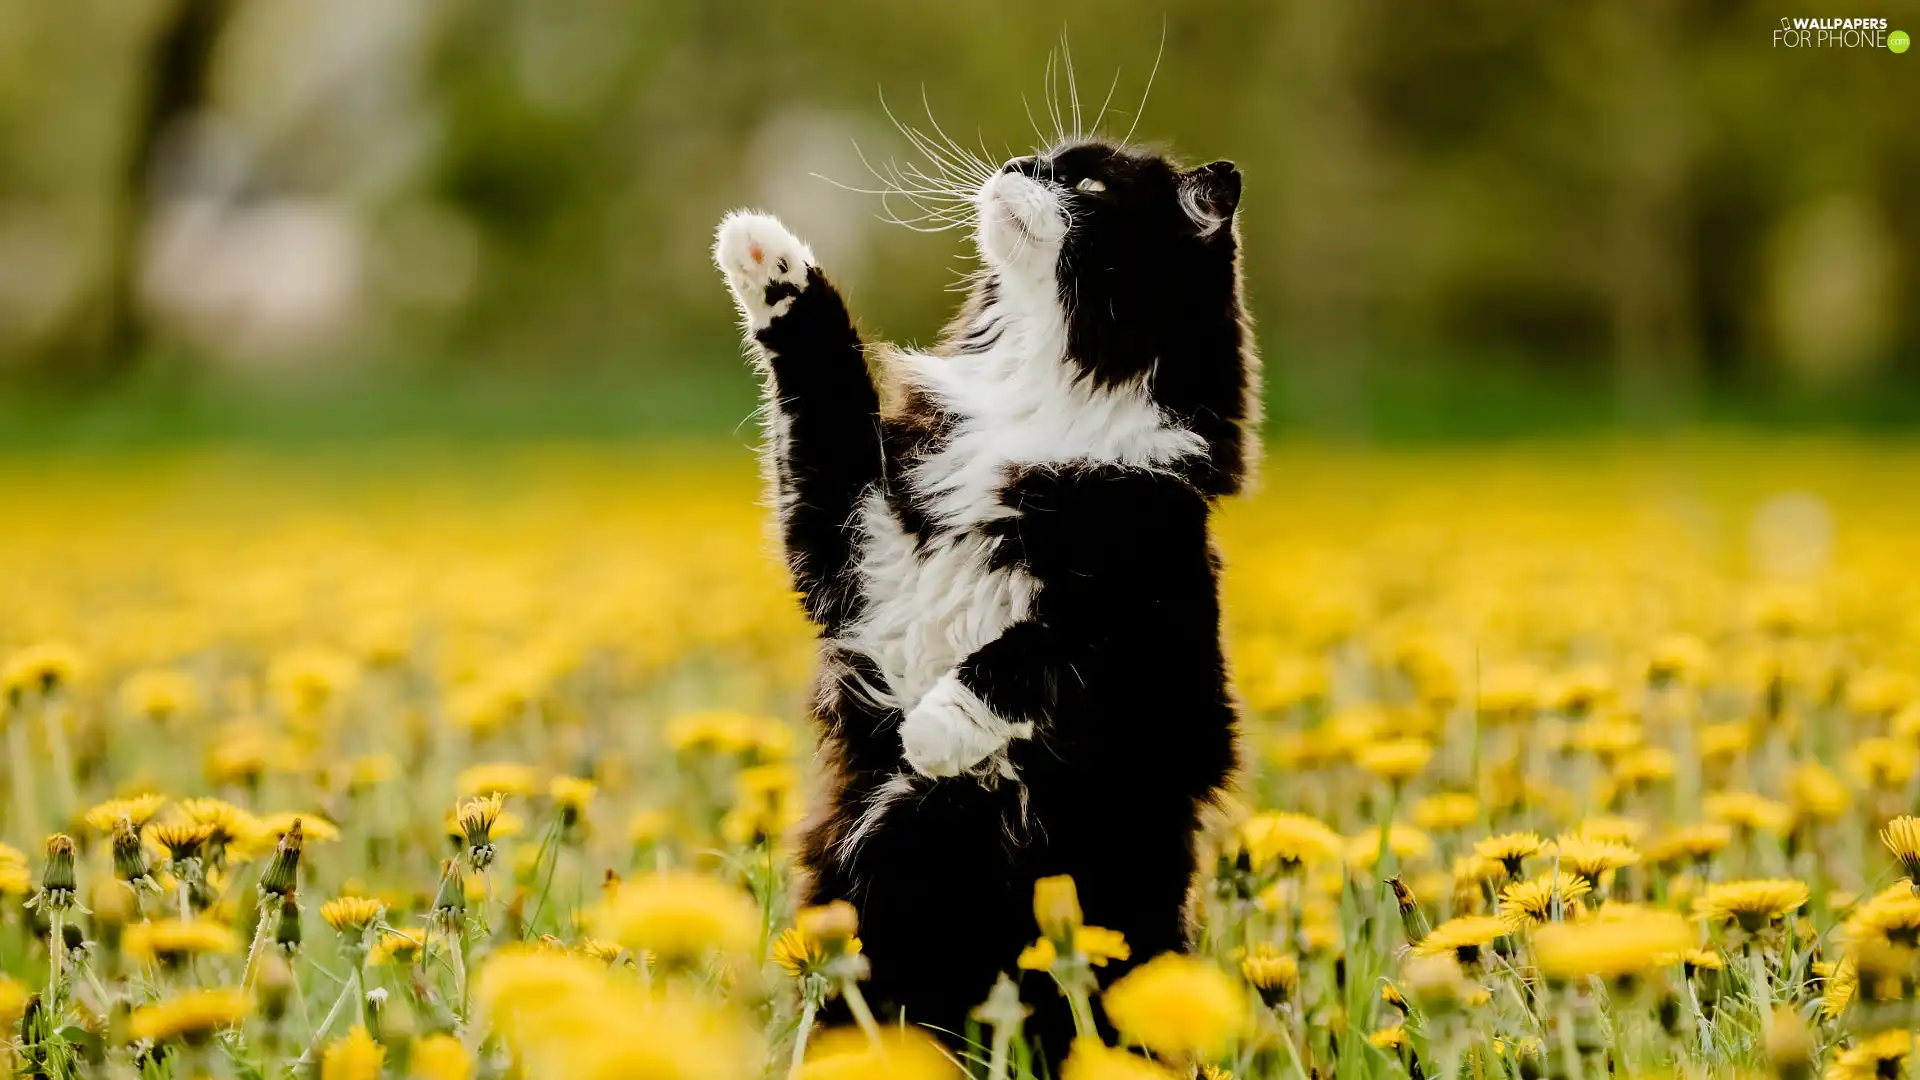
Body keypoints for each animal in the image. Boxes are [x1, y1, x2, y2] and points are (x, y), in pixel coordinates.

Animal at [714, 125, 1251, 1053]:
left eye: (1089, 184)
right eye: (1044, 159)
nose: (1014, 169)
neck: (1038, 396)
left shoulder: (1155, 615)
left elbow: (1035, 651)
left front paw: (935, 733)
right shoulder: (853, 543)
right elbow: (824, 385)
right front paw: (764, 255)